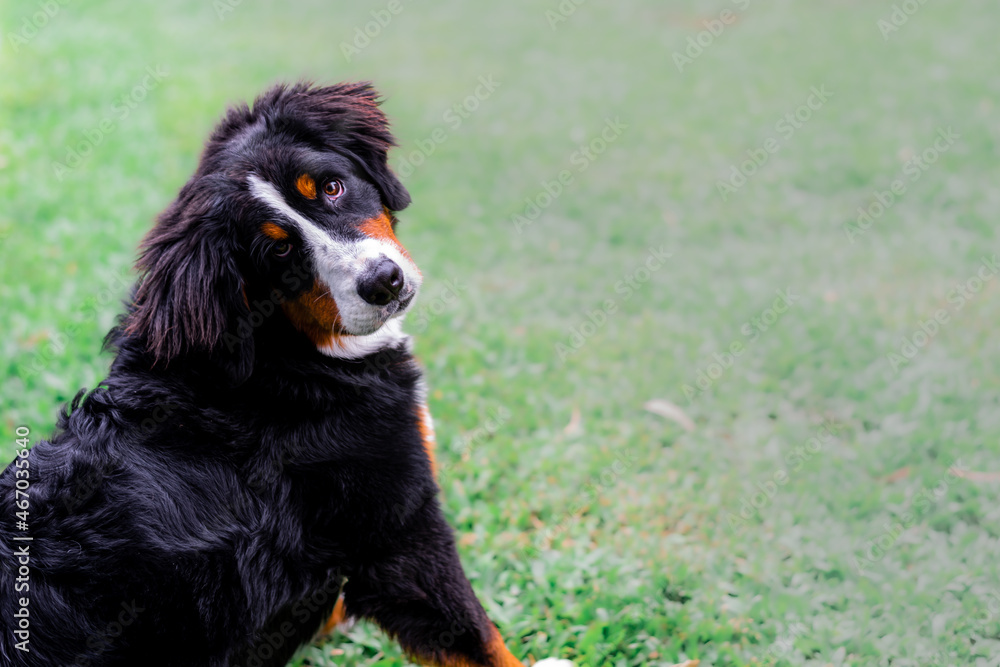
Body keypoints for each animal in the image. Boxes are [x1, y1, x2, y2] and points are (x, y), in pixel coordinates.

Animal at [0, 82, 572, 667]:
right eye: (278, 249)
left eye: (333, 187)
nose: (383, 282)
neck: (281, 357)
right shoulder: (399, 535)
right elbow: (480, 638)